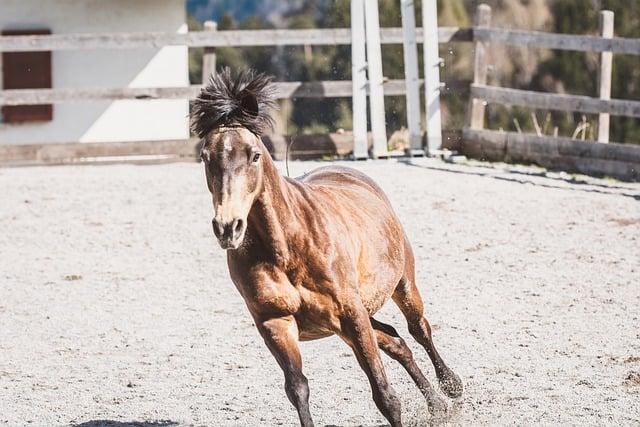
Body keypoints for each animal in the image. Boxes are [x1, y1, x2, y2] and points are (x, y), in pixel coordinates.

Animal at [190, 67, 460, 427]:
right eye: (206, 157)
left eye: (254, 155)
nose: (227, 227)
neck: (286, 249)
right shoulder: (276, 324)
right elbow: (297, 389)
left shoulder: (351, 314)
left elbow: (385, 396)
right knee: (395, 340)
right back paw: (437, 405)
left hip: (400, 285)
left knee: (418, 329)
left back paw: (451, 386)